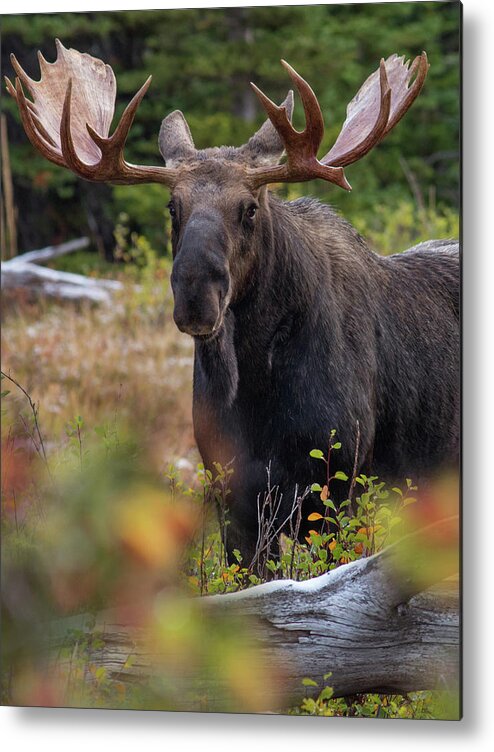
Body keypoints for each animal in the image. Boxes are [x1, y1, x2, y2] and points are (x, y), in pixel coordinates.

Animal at [6, 41, 460, 564]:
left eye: (250, 208)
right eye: (173, 207)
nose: (196, 297)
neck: (258, 392)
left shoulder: (341, 489)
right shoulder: (232, 500)